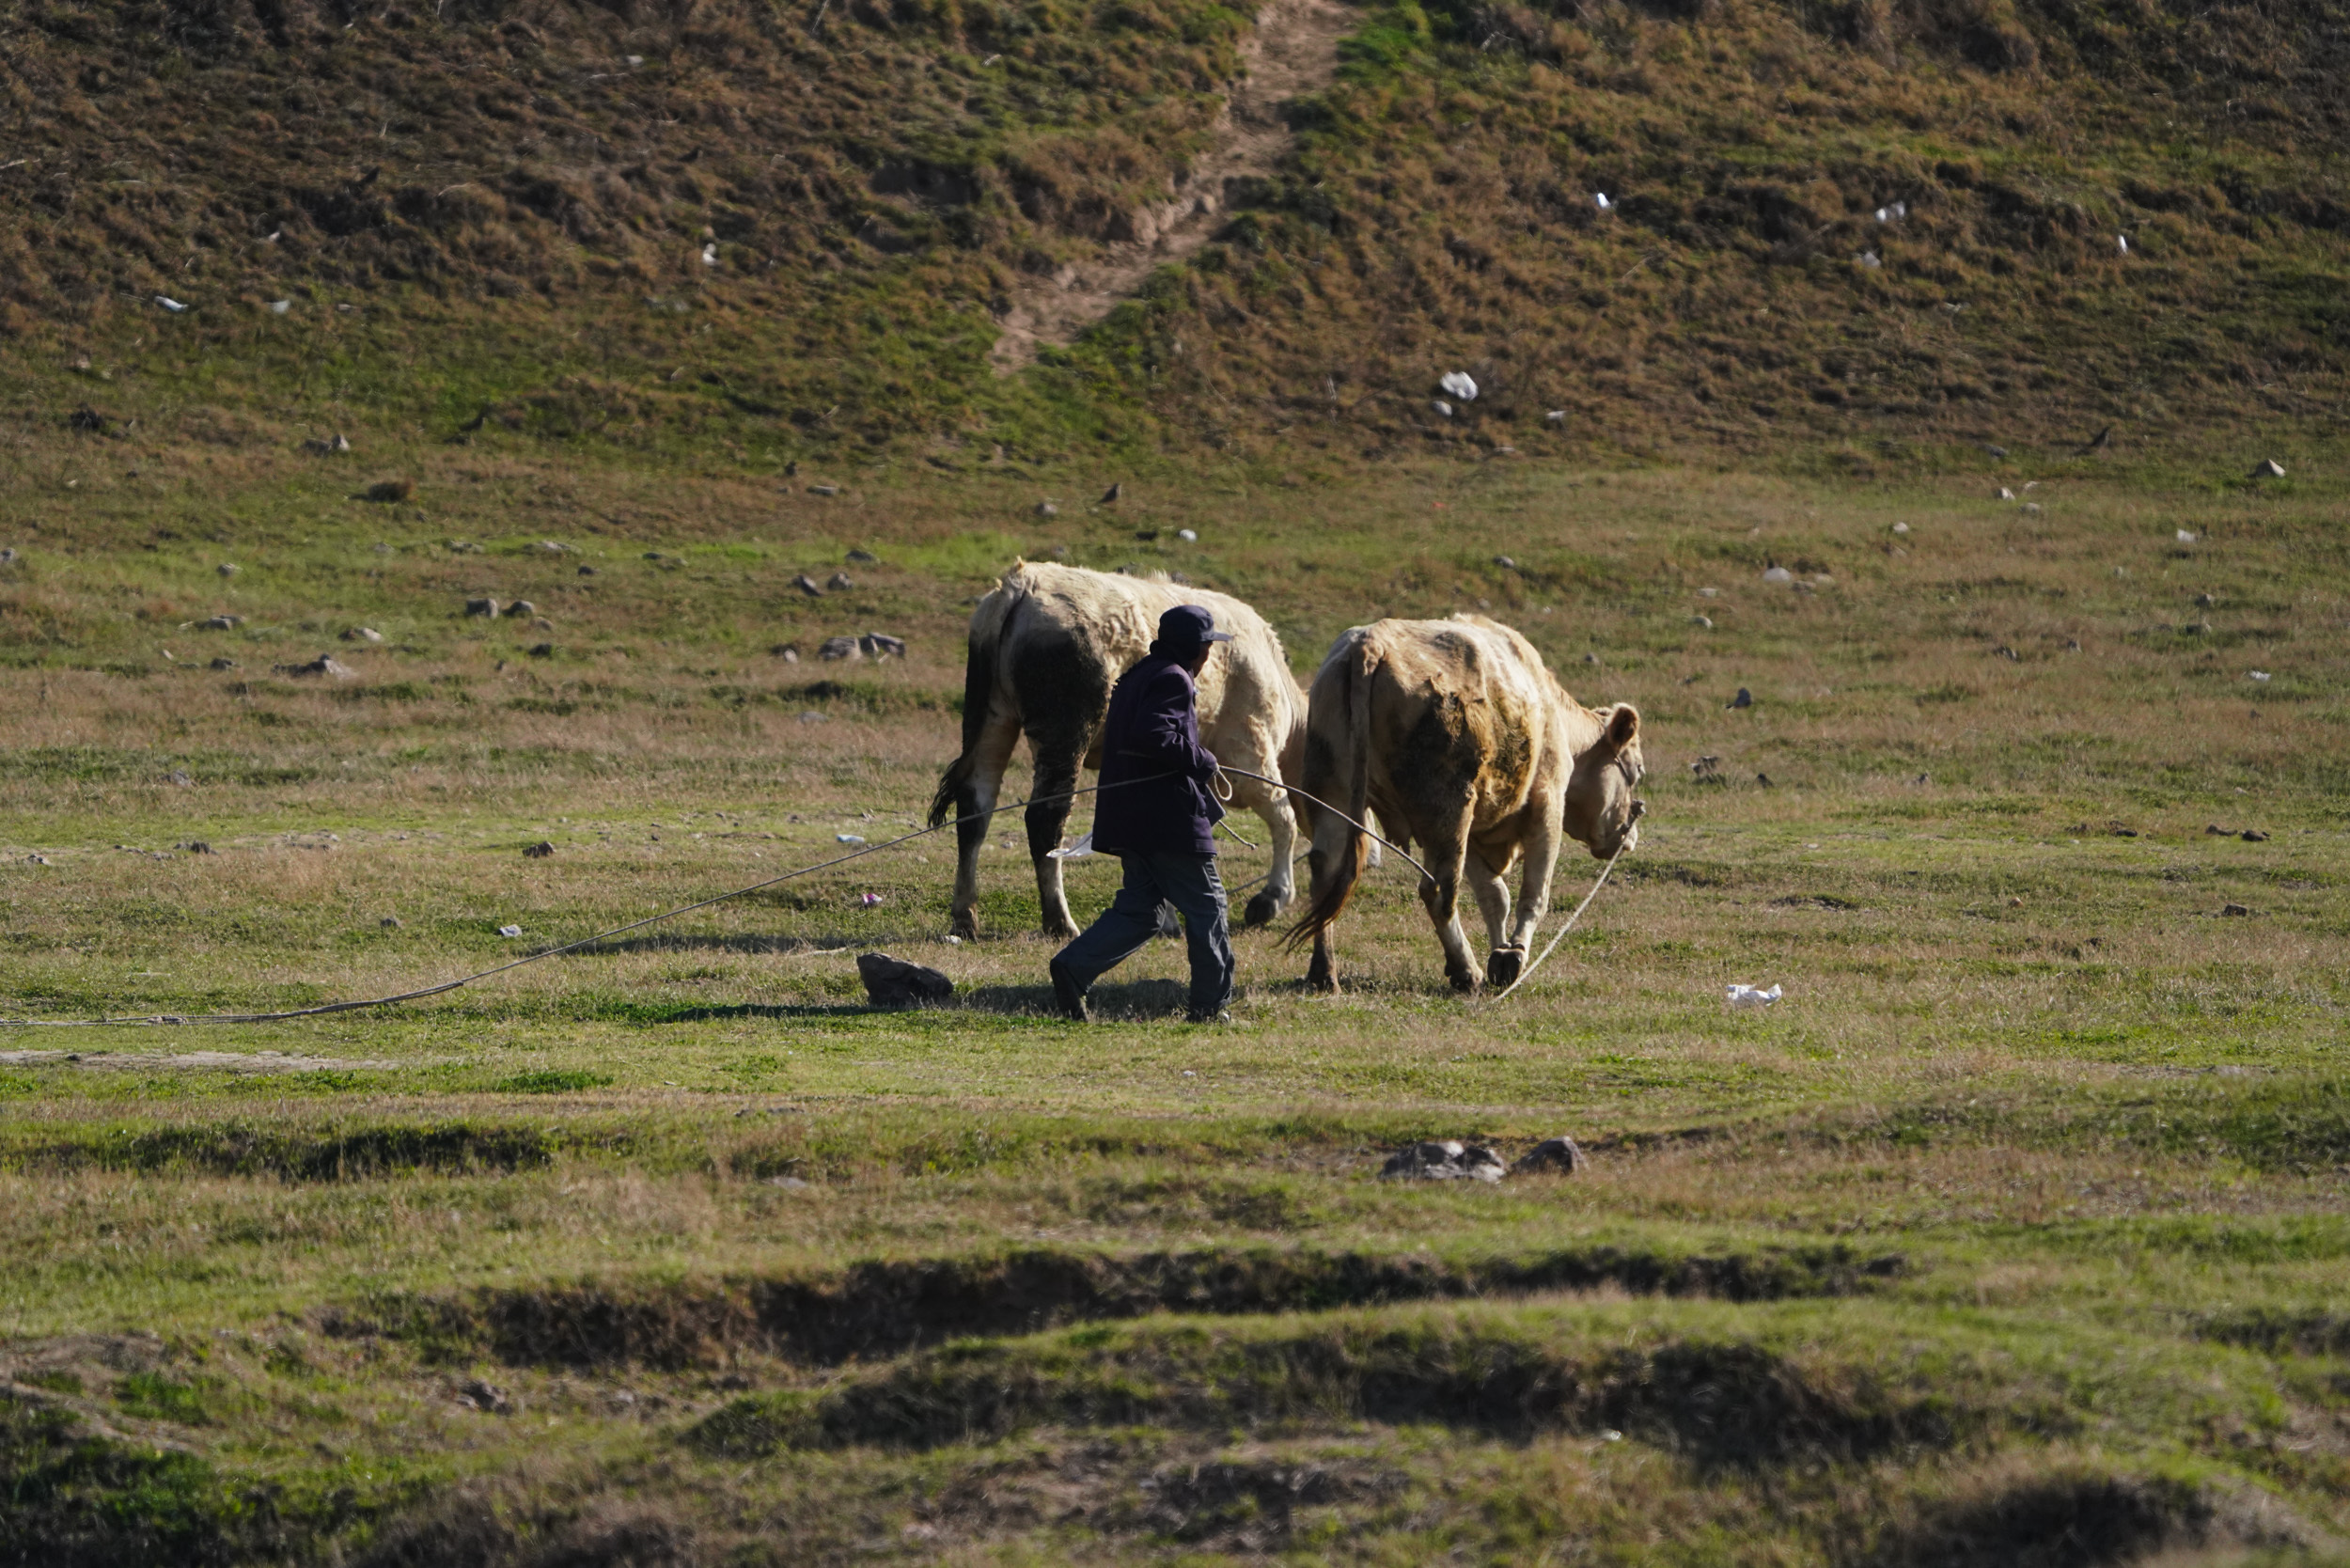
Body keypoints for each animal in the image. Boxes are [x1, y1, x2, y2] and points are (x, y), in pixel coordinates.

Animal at [931, 557, 1307, 940]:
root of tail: (1024, 582)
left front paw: (1167, 918)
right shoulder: (1249, 752)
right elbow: (1284, 817)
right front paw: (1273, 897)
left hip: (991, 719)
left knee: (975, 809)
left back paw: (965, 916)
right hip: (1065, 729)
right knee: (1045, 818)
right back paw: (1059, 920)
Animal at [1288, 616, 1636, 992]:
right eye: (1636, 771)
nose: (1629, 836)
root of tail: (1371, 642)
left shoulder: (1476, 832)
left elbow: (1494, 897)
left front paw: (1501, 950)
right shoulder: (1547, 806)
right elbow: (1533, 895)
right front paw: (1514, 955)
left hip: (1332, 792)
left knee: (1326, 875)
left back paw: (1324, 973)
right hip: (1448, 811)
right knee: (1439, 890)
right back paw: (1465, 970)